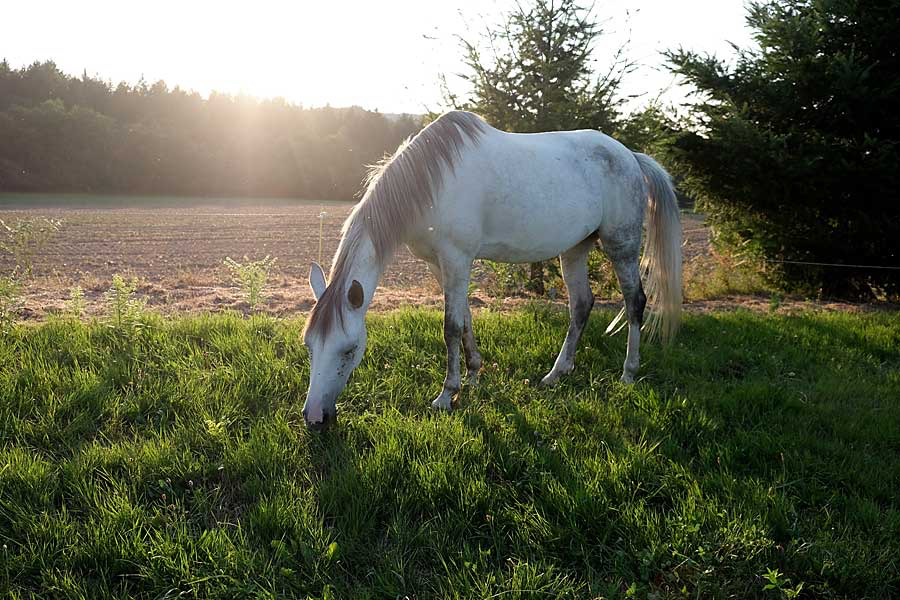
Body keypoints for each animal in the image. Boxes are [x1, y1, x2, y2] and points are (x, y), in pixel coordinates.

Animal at [302, 110, 684, 428]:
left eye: (349, 349)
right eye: (309, 345)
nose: (315, 418)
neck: (432, 182)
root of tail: (631, 156)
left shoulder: (457, 258)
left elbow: (451, 327)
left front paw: (447, 395)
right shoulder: (439, 265)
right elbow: (465, 318)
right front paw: (473, 375)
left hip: (622, 246)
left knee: (635, 302)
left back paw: (628, 374)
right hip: (575, 249)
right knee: (581, 305)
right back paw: (556, 375)